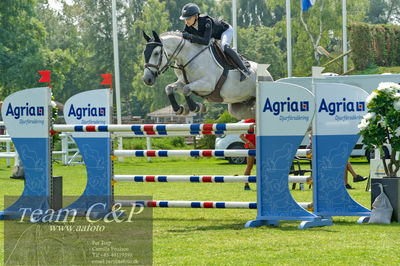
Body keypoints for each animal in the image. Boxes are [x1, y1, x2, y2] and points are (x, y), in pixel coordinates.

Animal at [142, 30, 274, 119]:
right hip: (238, 106)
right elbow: (169, 88)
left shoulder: (208, 85)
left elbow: (186, 89)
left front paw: (196, 107)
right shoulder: (182, 81)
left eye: (156, 53)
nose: (147, 79)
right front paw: (180, 109)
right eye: (144, 53)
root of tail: (268, 74)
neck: (188, 57)